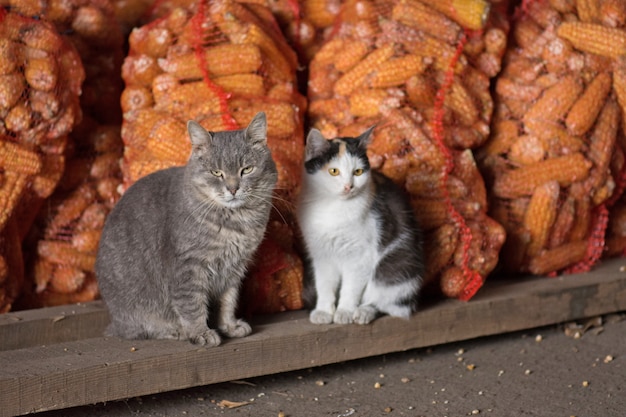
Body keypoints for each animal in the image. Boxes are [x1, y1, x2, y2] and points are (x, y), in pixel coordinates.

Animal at [95, 112, 276, 346]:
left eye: (246, 169)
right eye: (216, 172)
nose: (233, 188)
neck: (236, 222)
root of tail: (114, 321)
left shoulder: (235, 268)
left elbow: (228, 301)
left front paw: (229, 326)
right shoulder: (189, 266)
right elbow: (192, 304)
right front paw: (200, 332)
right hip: (136, 311)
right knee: (139, 329)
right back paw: (176, 330)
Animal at [294, 127, 422, 324]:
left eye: (358, 172)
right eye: (333, 171)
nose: (349, 186)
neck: (332, 206)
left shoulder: (360, 256)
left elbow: (351, 288)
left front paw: (344, 311)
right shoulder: (321, 254)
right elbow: (324, 284)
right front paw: (323, 311)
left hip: (395, 269)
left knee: (386, 303)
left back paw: (363, 312)